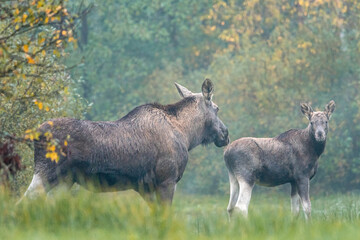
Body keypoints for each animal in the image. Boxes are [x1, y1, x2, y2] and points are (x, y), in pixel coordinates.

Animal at [22, 79, 229, 204]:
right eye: (217, 108)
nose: (225, 134)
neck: (187, 135)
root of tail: (34, 134)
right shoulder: (167, 180)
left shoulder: (146, 187)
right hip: (46, 172)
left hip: (65, 180)